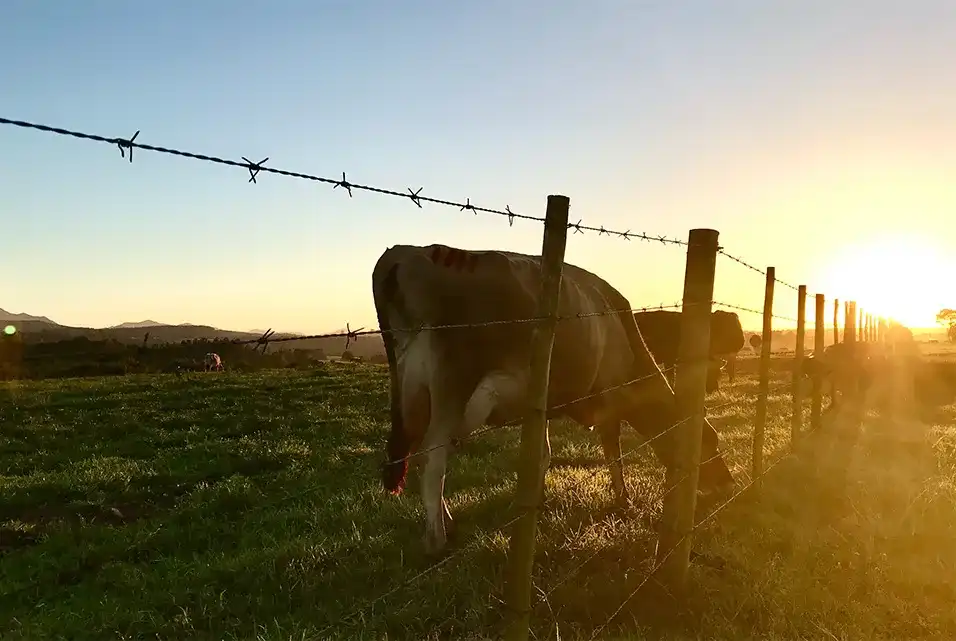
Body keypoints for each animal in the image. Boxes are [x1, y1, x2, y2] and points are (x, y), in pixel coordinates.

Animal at [370, 242, 736, 552]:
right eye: (710, 442)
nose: (727, 484)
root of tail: (405, 253)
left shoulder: (541, 407)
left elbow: (542, 456)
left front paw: (535, 501)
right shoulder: (610, 397)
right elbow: (613, 453)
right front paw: (623, 500)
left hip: (412, 392)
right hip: (452, 384)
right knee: (433, 460)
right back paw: (437, 539)